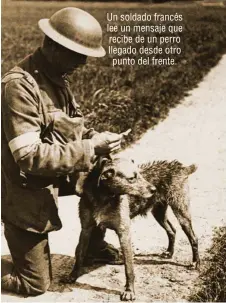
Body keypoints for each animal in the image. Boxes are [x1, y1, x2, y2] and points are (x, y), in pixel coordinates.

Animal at [64, 157, 200, 302]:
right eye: (132, 178)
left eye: (140, 174)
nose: (154, 189)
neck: (103, 198)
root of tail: (182, 167)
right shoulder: (86, 229)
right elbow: (80, 253)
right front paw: (73, 275)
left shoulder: (124, 233)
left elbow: (129, 268)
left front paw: (129, 291)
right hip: (159, 212)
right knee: (172, 230)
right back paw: (169, 252)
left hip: (181, 211)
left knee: (193, 237)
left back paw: (195, 262)